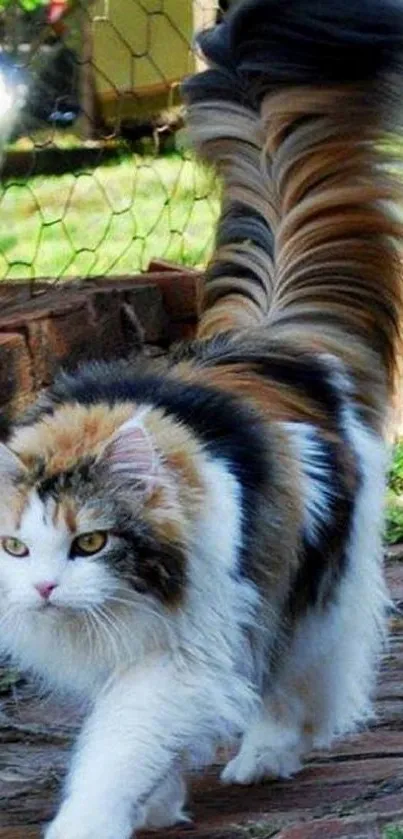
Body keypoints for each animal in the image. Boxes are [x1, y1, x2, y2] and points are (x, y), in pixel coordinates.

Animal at [0, 1, 403, 839]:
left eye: (91, 541)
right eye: (15, 547)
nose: (46, 588)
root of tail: (269, 339)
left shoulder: (181, 656)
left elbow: (118, 745)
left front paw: (95, 818)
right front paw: (156, 801)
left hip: (305, 581)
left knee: (301, 675)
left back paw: (269, 751)